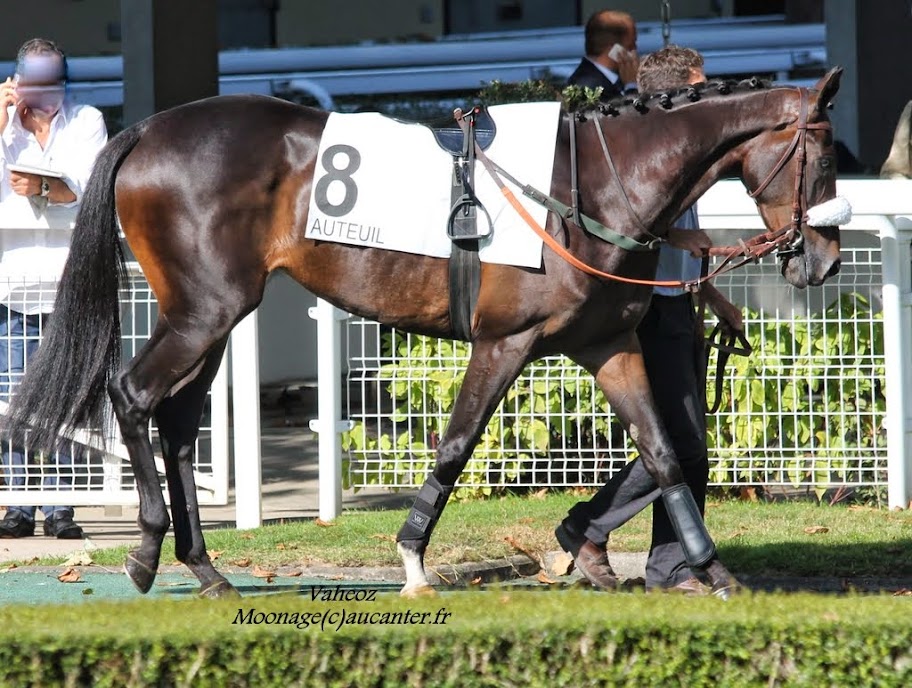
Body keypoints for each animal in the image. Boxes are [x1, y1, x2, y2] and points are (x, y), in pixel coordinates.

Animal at [3, 67, 844, 600]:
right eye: (825, 155)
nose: (826, 261)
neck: (591, 186)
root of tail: (145, 131)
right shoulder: (505, 342)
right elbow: (455, 446)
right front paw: (411, 560)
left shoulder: (606, 345)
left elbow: (665, 453)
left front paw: (715, 573)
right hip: (203, 310)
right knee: (130, 394)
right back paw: (147, 552)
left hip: (210, 316)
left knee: (176, 426)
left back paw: (203, 569)